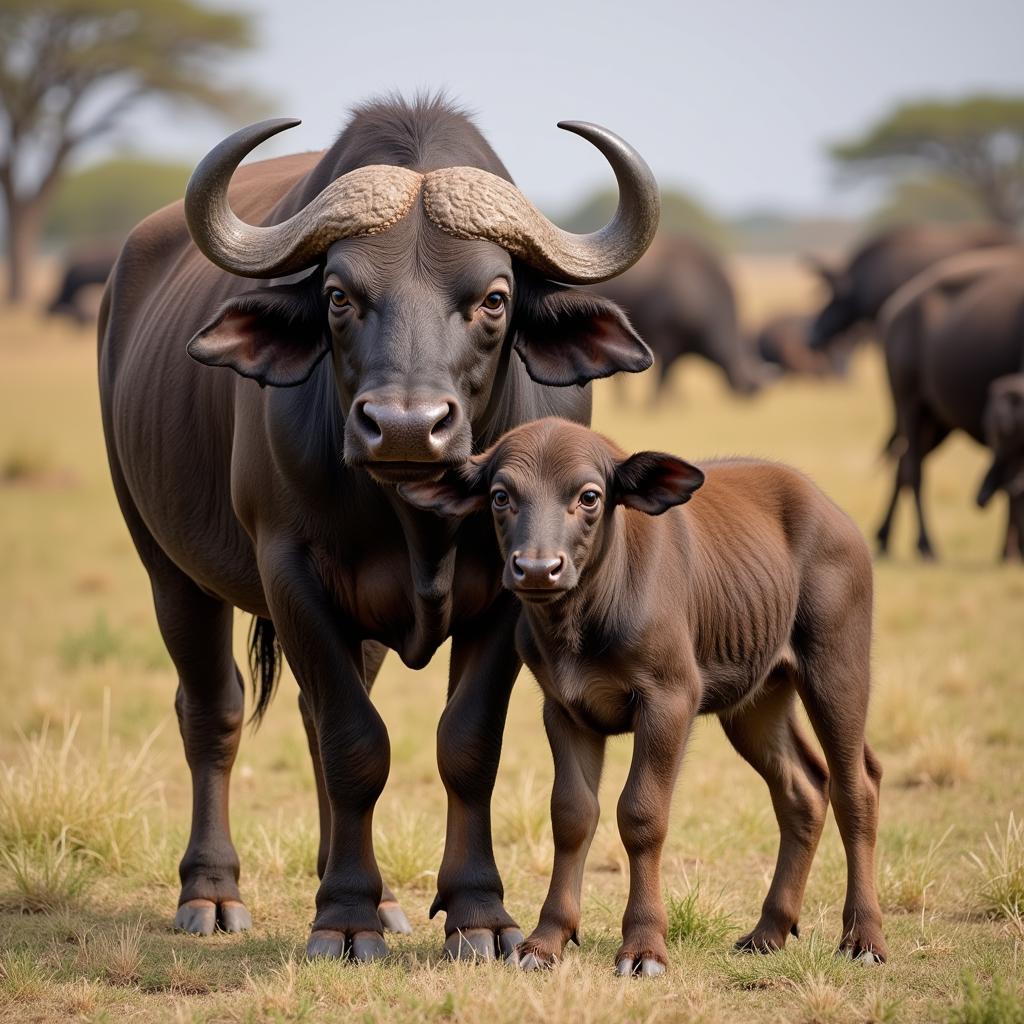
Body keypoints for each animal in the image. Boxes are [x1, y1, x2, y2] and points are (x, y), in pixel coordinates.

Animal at [96, 94, 655, 958]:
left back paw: (381, 894)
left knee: (309, 713)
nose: (404, 426)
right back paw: (213, 893)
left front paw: (477, 912)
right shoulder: (290, 574)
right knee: (214, 712)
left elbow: (466, 745)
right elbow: (356, 744)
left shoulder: (513, 591)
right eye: (338, 295)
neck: (420, 515)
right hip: (166, 565)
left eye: (494, 298)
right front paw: (347, 918)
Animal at [403, 417, 884, 974]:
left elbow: (642, 814)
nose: (539, 568)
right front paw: (546, 940)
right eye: (501, 496)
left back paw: (863, 938)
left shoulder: (670, 700)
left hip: (837, 665)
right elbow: (571, 815)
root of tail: (833, 512)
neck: (582, 619)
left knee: (855, 786)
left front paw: (644, 945)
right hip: (759, 697)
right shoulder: (563, 709)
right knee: (802, 789)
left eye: (590, 496)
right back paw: (769, 932)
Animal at [872, 251, 1024, 565]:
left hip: (937, 424)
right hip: (910, 404)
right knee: (913, 470)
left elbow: (1015, 485)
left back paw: (883, 538)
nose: (980, 498)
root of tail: (894, 310)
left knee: (904, 463)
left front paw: (1009, 552)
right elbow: (1014, 486)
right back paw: (926, 545)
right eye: (996, 428)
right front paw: (1010, 553)